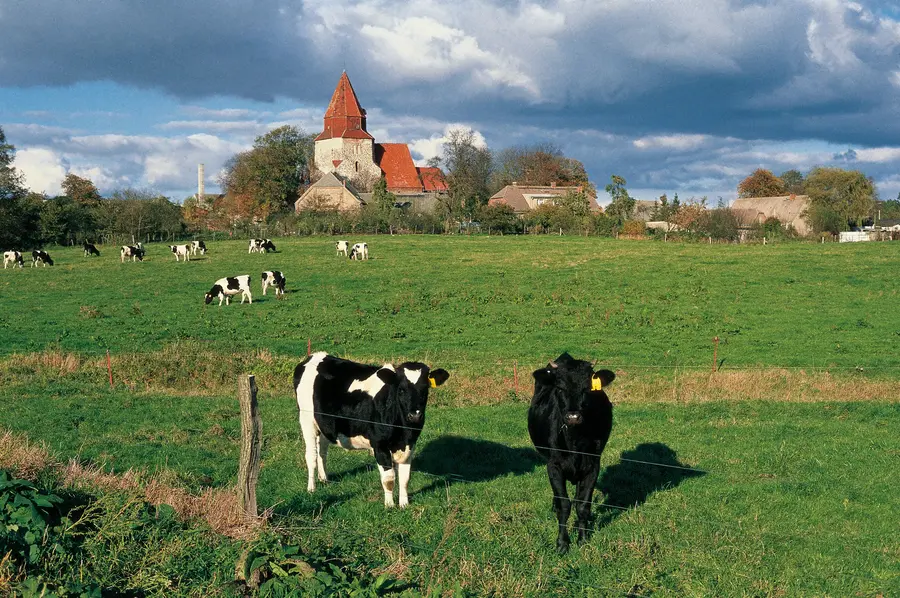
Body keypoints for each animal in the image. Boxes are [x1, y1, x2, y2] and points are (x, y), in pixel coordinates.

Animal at [294, 352, 450, 508]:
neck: (404, 431)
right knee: (311, 455)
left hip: (323, 423)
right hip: (306, 419)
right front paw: (389, 505)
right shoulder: (379, 445)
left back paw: (324, 479)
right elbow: (389, 478)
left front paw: (404, 504)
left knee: (322, 451)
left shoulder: (410, 444)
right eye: (401, 390)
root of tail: (314, 356)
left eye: (425, 389)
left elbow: (405, 477)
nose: (415, 415)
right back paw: (311, 488)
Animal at [527, 352, 615, 553]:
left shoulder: (593, 465)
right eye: (559, 388)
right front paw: (562, 543)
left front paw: (582, 538)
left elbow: (582, 505)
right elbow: (564, 505)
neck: (575, 441)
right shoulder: (553, 465)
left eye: (588, 388)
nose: (573, 417)